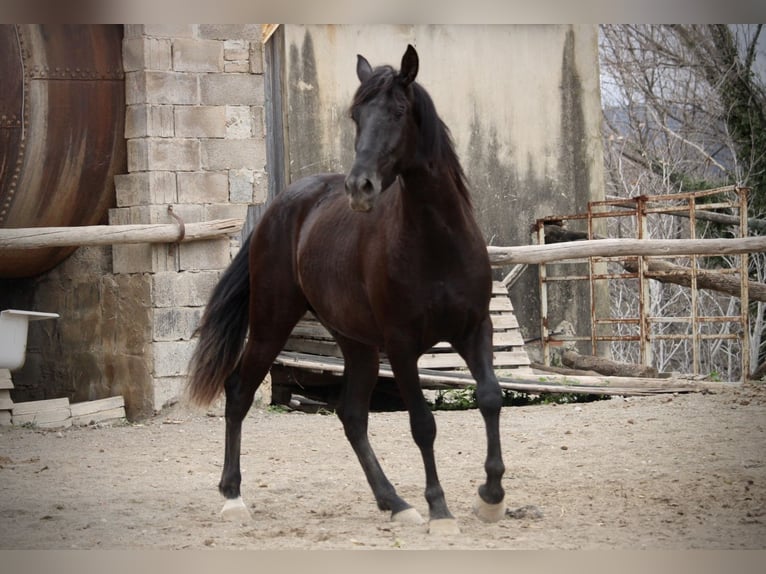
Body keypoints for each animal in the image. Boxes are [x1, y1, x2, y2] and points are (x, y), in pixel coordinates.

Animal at [188, 44, 508, 536]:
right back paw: (233, 497)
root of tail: (280, 206)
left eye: (398, 112)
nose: (360, 187)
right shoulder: (401, 346)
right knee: (240, 391)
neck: (436, 242)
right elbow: (422, 424)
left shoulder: (475, 330)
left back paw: (394, 502)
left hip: (355, 343)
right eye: (357, 115)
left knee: (352, 416)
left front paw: (490, 497)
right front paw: (440, 509)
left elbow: (490, 398)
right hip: (271, 323)